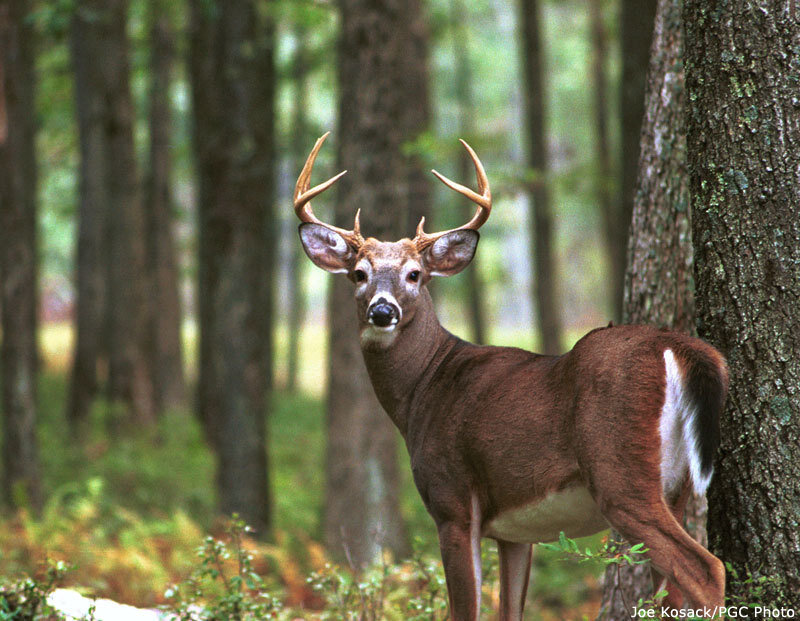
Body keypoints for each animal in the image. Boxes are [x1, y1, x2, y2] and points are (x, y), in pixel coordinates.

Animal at [294, 132, 727, 620]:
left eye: (415, 274)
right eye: (358, 274)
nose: (382, 311)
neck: (424, 387)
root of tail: (679, 347)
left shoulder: (452, 500)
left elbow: (465, 609)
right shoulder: (514, 532)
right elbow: (509, 609)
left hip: (621, 471)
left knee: (705, 569)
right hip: (676, 487)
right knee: (673, 588)